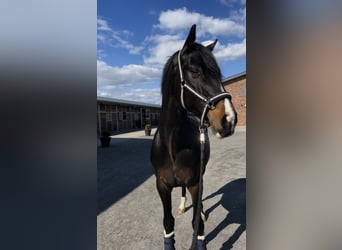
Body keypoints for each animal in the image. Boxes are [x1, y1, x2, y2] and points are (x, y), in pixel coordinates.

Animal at [151, 23, 236, 250]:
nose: (230, 119)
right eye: (195, 71)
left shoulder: (195, 182)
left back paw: (202, 212)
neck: (172, 145)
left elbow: (197, 226)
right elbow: (168, 222)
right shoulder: (161, 185)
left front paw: (201, 218)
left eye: (219, 74)